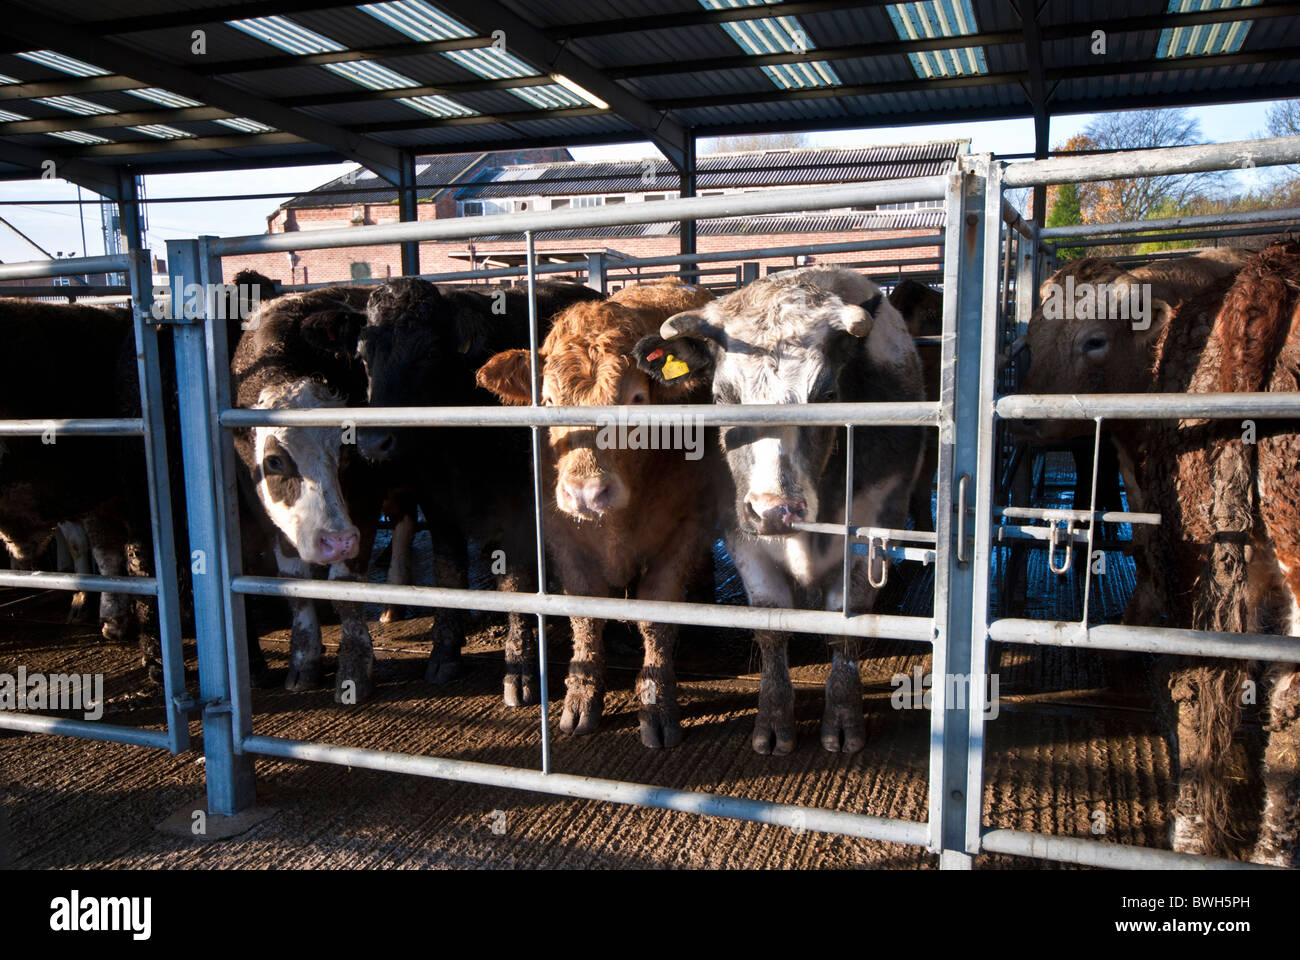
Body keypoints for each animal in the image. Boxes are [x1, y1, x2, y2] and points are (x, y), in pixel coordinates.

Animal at [356, 278, 604, 706]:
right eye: (365, 354)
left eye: (430, 352)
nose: (374, 442)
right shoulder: (438, 506)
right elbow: (449, 574)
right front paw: (444, 654)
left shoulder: (522, 511)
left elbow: (517, 583)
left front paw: (519, 669)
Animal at [476, 279, 721, 748]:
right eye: (548, 400)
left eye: (638, 399)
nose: (585, 491)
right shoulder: (563, 535)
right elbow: (586, 616)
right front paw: (581, 700)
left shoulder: (685, 530)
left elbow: (658, 615)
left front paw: (656, 704)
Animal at [635, 266, 926, 755]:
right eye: (723, 397)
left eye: (826, 394)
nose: (775, 511)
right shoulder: (741, 532)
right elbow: (771, 624)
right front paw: (773, 721)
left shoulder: (874, 526)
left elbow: (846, 624)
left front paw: (843, 718)